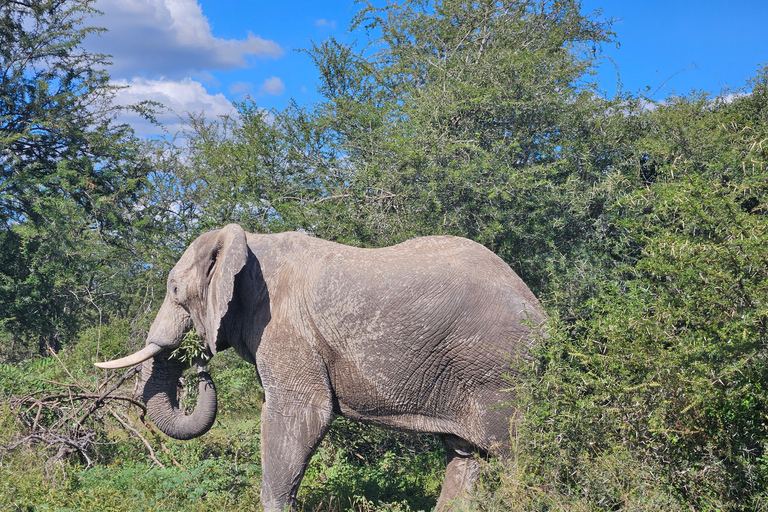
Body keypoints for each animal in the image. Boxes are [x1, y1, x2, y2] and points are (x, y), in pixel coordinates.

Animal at [97, 225, 544, 512]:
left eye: (174, 290)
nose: (200, 367)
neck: (248, 243)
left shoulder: (285, 326)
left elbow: (300, 414)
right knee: (467, 456)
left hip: (500, 373)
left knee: (516, 456)